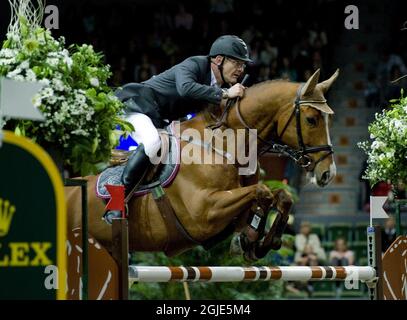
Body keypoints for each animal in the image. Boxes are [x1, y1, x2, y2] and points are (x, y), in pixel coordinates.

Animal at [67, 68, 340, 260]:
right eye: (312, 119)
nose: (328, 173)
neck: (224, 145)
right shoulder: (204, 213)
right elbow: (262, 192)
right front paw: (253, 238)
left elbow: (280, 197)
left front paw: (258, 241)